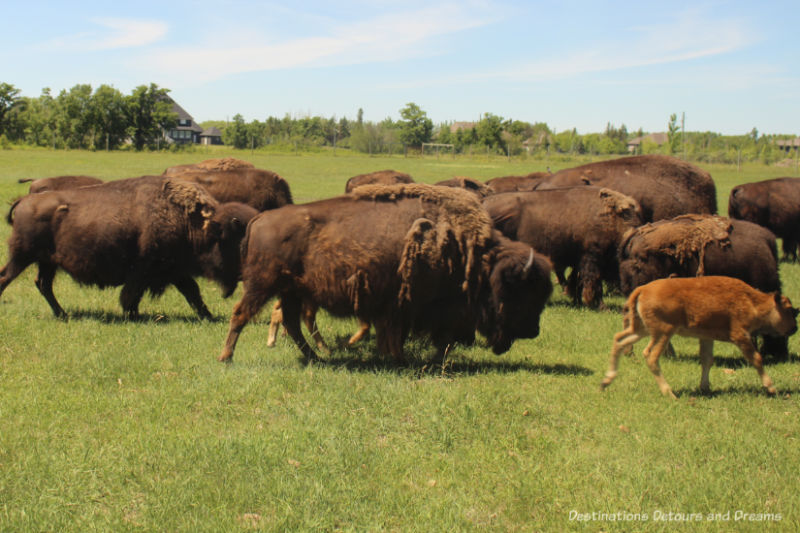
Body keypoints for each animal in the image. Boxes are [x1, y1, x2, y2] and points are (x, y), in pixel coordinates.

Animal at [0, 175, 256, 318]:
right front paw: (132, 314)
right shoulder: (146, 271)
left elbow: (192, 292)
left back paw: (62, 314)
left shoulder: (174, 271)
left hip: (46, 262)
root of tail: (23, 201)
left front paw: (208, 315)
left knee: (43, 284)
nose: (243, 275)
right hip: (22, 257)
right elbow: (132, 295)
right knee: (8, 277)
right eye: (237, 242)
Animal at [220, 183, 556, 362]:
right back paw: (226, 357)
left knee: (291, 321)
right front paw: (400, 359)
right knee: (240, 314)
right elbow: (407, 335)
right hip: (262, 286)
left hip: (292, 291)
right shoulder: (409, 306)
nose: (533, 331)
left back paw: (315, 357)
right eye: (522, 292)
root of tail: (259, 219)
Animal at [482, 187, 644, 308]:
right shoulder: (592, 258)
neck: (614, 222)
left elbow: (576, 281)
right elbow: (593, 283)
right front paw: (600, 305)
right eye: (636, 265)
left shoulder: (579, 261)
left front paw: (578, 302)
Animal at [596, 276, 796, 396]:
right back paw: (669, 393)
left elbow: (707, 359)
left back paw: (606, 381)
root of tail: (642, 290)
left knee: (619, 340)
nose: (794, 328)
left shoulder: (707, 337)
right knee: (650, 356)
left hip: (641, 330)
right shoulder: (740, 336)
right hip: (663, 332)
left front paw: (705, 387)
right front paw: (771, 387)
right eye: (789, 309)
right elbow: (756, 358)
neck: (751, 301)